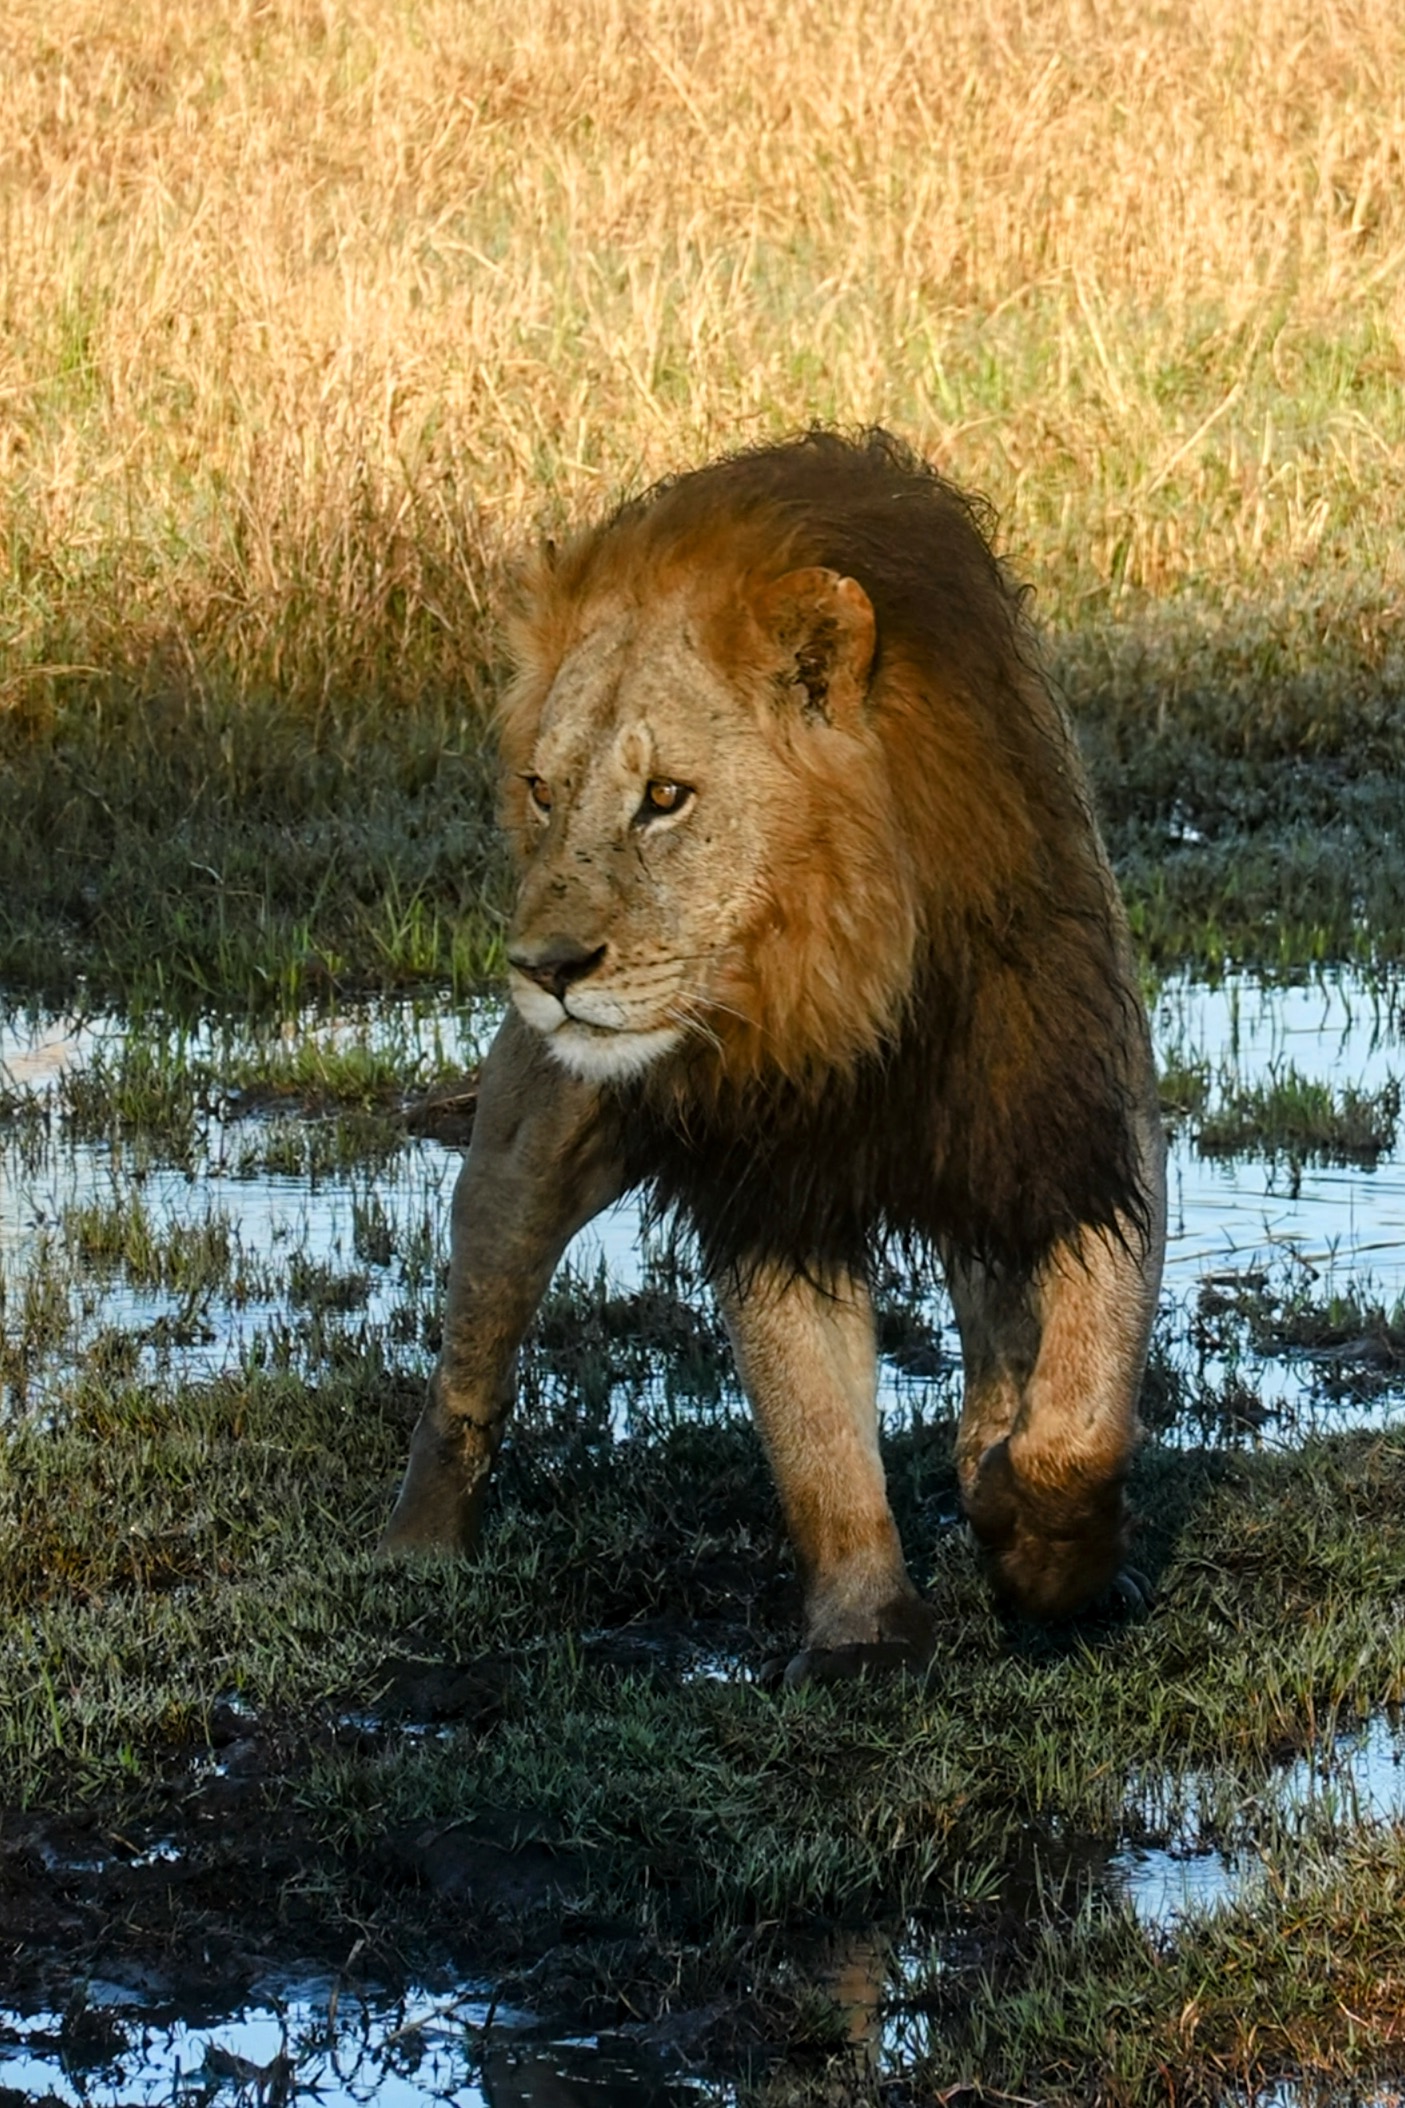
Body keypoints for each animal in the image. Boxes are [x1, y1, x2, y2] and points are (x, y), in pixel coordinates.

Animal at [382, 428, 1167, 1685]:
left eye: (664, 797)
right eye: (543, 790)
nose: (546, 969)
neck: (842, 981)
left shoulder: (1075, 1125)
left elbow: (1083, 1415)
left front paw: (1037, 1547)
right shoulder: (774, 1177)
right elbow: (814, 1426)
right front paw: (865, 1630)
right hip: (526, 1150)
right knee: (471, 1357)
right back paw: (418, 1548)